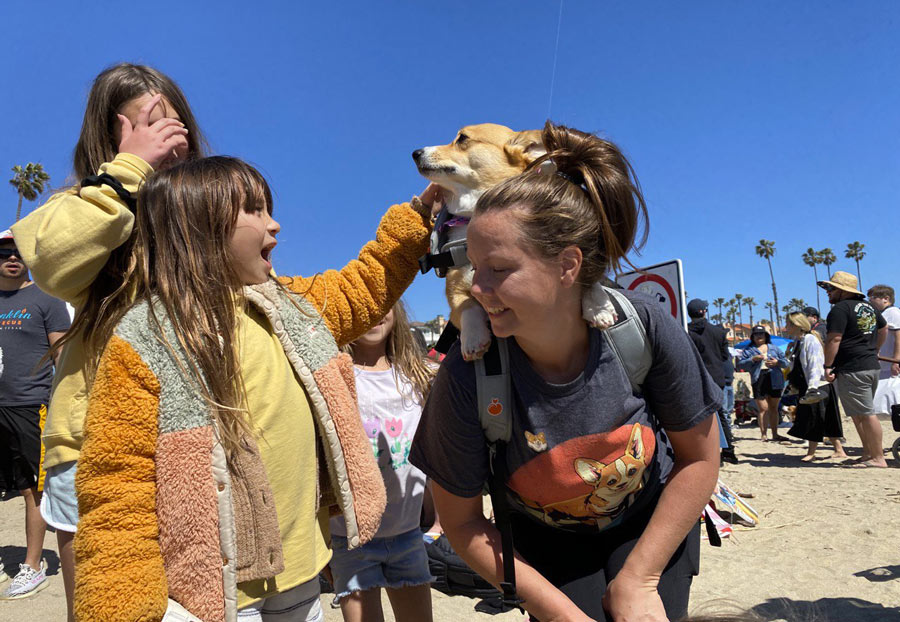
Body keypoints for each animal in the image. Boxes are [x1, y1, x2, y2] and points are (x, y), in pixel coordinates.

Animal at [414, 123, 620, 360]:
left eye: (462, 138)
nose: (415, 153)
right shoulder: (454, 291)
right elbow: (467, 306)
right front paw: (473, 338)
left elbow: (590, 279)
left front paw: (598, 307)